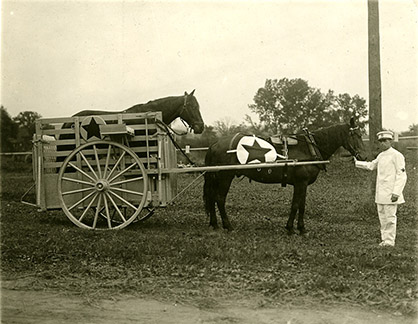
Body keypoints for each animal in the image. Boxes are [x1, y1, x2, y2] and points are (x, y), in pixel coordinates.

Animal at [202, 117, 366, 234]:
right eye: (355, 135)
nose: (364, 156)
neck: (310, 147)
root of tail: (215, 144)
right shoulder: (301, 183)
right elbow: (296, 205)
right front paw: (294, 228)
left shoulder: (301, 184)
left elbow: (300, 204)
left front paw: (297, 227)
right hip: (225, 177)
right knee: (219, 199)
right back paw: (228, 226)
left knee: (212, 198)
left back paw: (215, 224)